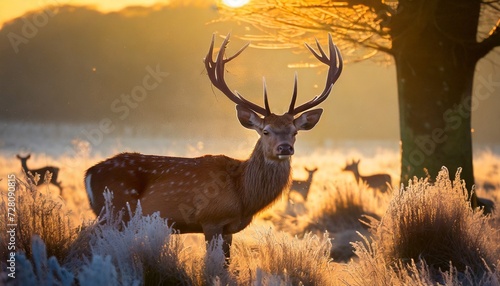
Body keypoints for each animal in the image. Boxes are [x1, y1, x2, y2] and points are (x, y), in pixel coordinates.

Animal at [85, 33, 344, 260]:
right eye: (265, 131)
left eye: (294, 132)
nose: (284, 148)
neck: (243, 195)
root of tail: (89, 173)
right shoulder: (211, 219)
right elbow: (213, 266)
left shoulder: (228, 229)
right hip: (115, 211)